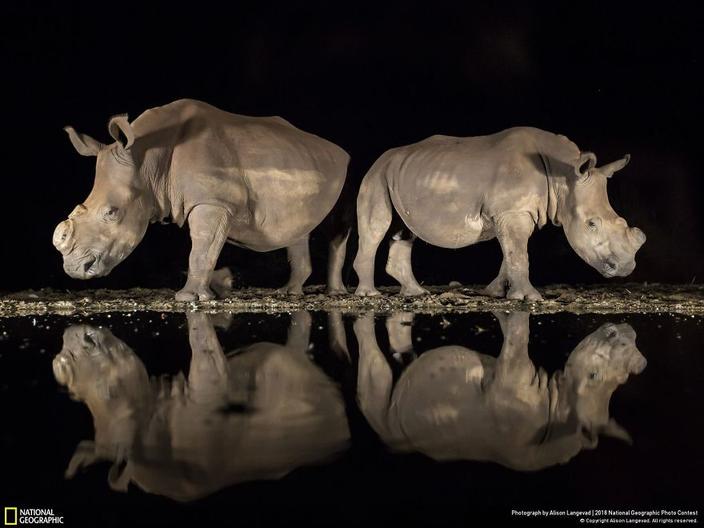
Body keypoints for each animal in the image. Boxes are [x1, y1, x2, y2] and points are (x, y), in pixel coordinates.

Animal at [52, 98, 352, 296]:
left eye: (111, 212)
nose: (74, 269)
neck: (148, 157)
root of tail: (336, 148)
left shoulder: (213, 201)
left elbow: (202, 246)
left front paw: (189, 297)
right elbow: (204, 246)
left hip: (345, 170)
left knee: (337, 228)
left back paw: (336, 294)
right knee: (299, 227)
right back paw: (288, 292)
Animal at [354, 126, 648, 300]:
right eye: (591, 224)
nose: (625, 267)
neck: (563, 174)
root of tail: (382, 158)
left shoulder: (515, 212)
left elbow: (511, 253)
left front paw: (494, 292)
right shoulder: (513, 211)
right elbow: (519, 254)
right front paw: (530, 298)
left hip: (401, 175)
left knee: (404, 230)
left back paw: (415, 293)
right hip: (376, 175)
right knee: (377, 226)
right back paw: (370, 295)